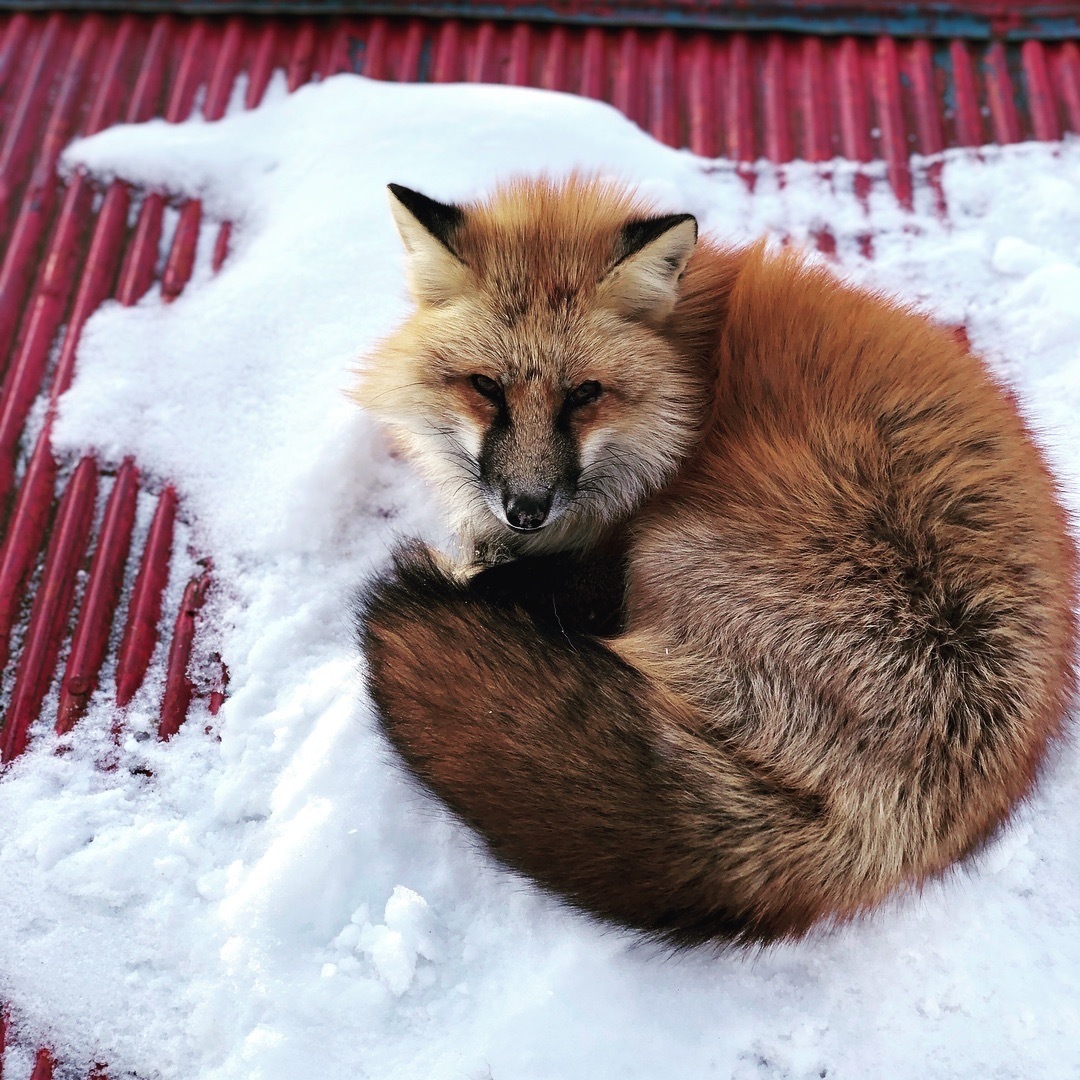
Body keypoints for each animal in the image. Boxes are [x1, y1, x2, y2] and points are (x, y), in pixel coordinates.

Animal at [349, 174, 1075, 946]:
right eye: (486, 387)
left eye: (584, 394)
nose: (526, 507)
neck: (691, 386)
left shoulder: (610, 549)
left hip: (670, 546)